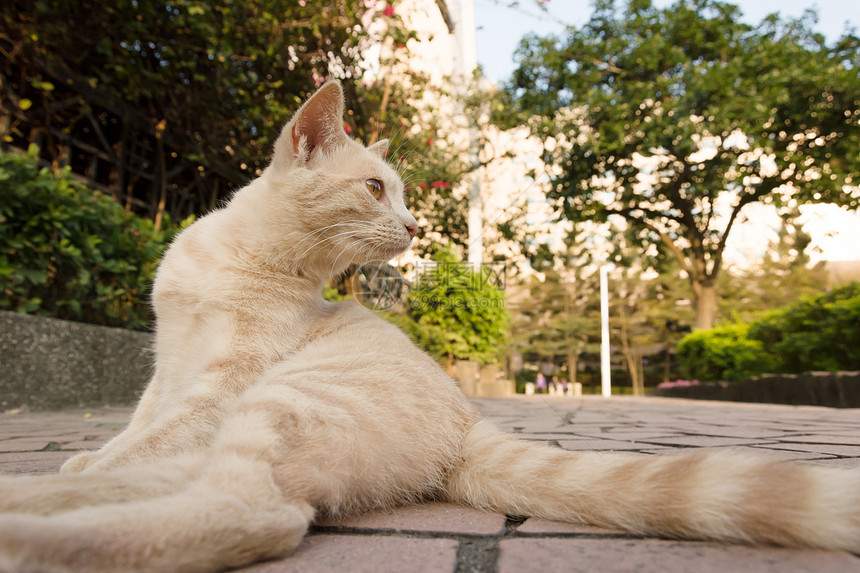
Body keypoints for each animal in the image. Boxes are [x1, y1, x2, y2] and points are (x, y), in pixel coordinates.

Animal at [1, 81, 860, 572]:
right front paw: (89, 455)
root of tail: (465, 420)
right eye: (376, 188)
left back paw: (35, 535)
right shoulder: (170, 363)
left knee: (254, 511)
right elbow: (140, 426)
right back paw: (42, 495)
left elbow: (149, 434)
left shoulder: (223, 378)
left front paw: (89, 462)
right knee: (179, 481)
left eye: (405, 195)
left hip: (281, 399)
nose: (415, 226)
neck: (242, 258)